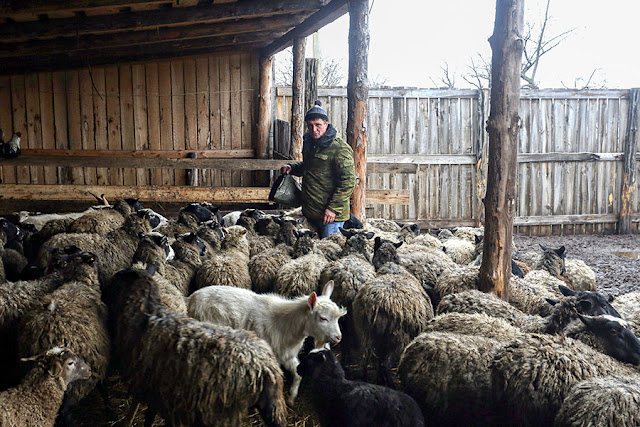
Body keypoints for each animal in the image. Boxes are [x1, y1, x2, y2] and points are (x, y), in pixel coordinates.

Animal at [185, 280, 344, 404]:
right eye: (323, 318)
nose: (339, 337)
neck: (284, 323)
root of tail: (191, 299)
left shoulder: (286, 355)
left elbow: (297, 373)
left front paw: (291, 397)